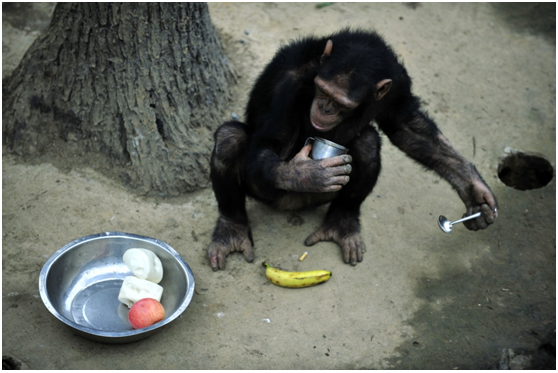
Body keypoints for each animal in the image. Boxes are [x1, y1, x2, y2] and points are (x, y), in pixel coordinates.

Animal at [208, 26, 500, 270]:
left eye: (341, 104)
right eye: (322, 91)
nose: (324, 107)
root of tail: (293, 204)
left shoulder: (398, 83)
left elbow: (406, 125)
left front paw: (474, 190)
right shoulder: (288, 83)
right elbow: (268, 143)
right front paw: (306, 174)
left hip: (321, 199)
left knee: (367, 142)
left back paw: (342, 223)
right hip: (270, 195)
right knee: (230, 137)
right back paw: (231, 230)